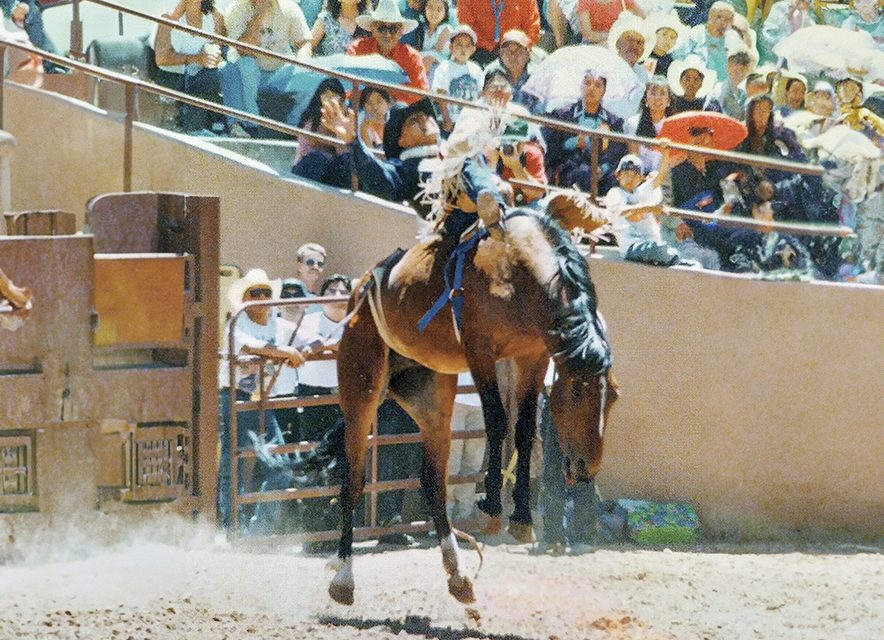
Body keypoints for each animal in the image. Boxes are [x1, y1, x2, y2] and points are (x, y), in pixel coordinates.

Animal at [328, 209, 620, 604]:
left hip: (432, 399)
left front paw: (522, 517)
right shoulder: (481, 351)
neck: (517, 269)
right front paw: (494, 507)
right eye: (575, 391)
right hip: (361, 384)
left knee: (433, 482)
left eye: (614, 396)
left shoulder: (534, 355)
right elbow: (497, 421)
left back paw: (458, 575)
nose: (588, 466)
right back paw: (343, 578)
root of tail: (361, 286)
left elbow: (524, 431)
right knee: (353, 481)